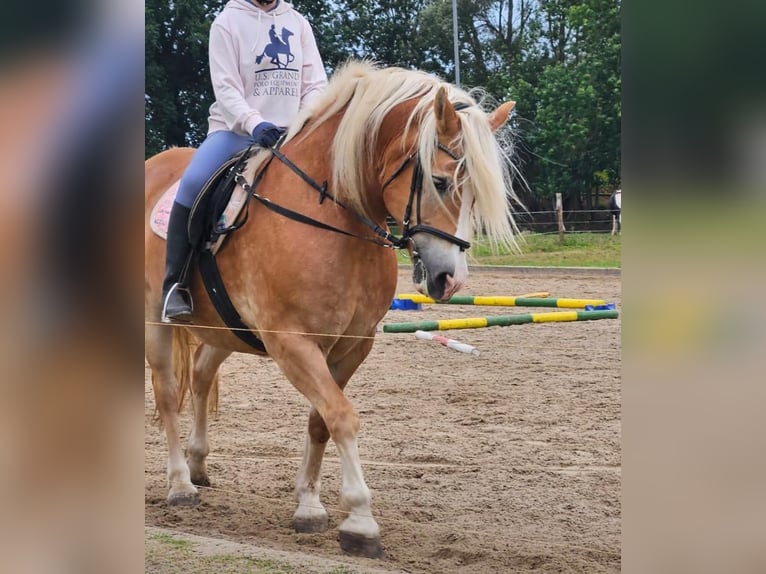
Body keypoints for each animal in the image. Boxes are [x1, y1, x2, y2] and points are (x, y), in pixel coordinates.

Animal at [146, 60, 520, 560]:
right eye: (440, 181)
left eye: (476, 193)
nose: (450, 280)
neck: (334, 218)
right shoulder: (292, 344)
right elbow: (341, 416)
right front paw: (360, 521)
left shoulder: (350, 345)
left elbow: (320, 420)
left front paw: (309, 506)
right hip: (155, 319)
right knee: (169, 393)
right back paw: (180, 485)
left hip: (222, 328)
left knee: (203, 375)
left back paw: (198, 464)